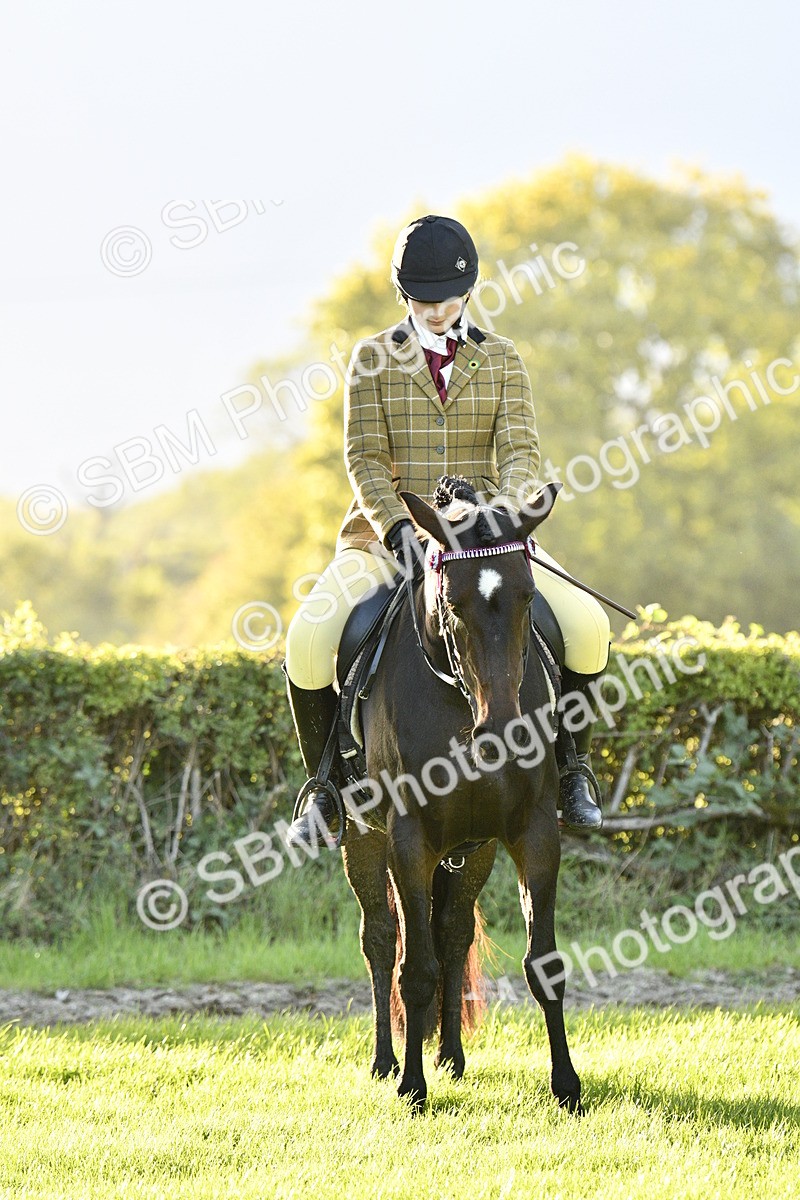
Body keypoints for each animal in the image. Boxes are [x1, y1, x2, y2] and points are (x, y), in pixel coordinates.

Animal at [339, 476, 582, 1114]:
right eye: (453, 604)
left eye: (528, 597)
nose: (503, 730)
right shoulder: (408, 841)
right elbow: (414, 969)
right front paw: (411, 1088)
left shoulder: (533, 832)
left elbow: (543, 961)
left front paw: (567, 1086)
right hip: (363, 838)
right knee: (381, 940)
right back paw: (386, 1062)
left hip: (473, 850)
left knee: (452, 932)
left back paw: (450, 1055)